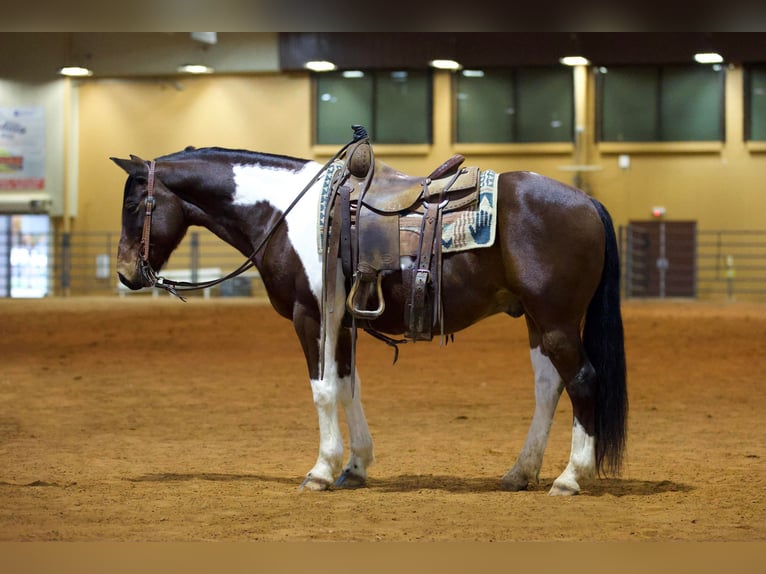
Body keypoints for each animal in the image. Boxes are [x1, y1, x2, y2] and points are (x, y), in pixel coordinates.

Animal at [114, 145, 632, 500]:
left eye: (135, 206)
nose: (125, 273)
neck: (285, 212)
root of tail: (587, 202)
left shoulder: (311, 316)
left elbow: (324, 390)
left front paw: (320, 471)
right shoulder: (343, 322)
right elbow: (348, 387)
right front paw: (355, 466)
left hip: (557, 320)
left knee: (582, 380)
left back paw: (570, 477)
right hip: (537, 321)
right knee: (549, 386)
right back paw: (521, 472)